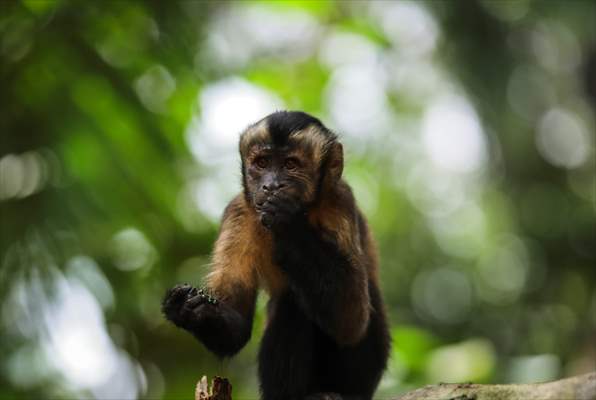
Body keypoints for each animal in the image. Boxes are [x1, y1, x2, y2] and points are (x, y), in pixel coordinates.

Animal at [162, 110, 392, 400]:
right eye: (262, 163)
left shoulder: (340, 202)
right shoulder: (240, 211)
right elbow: (236, 329)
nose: (271, 186)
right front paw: (195, 309)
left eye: (290, 164)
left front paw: (287, 221)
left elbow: (351, 322)